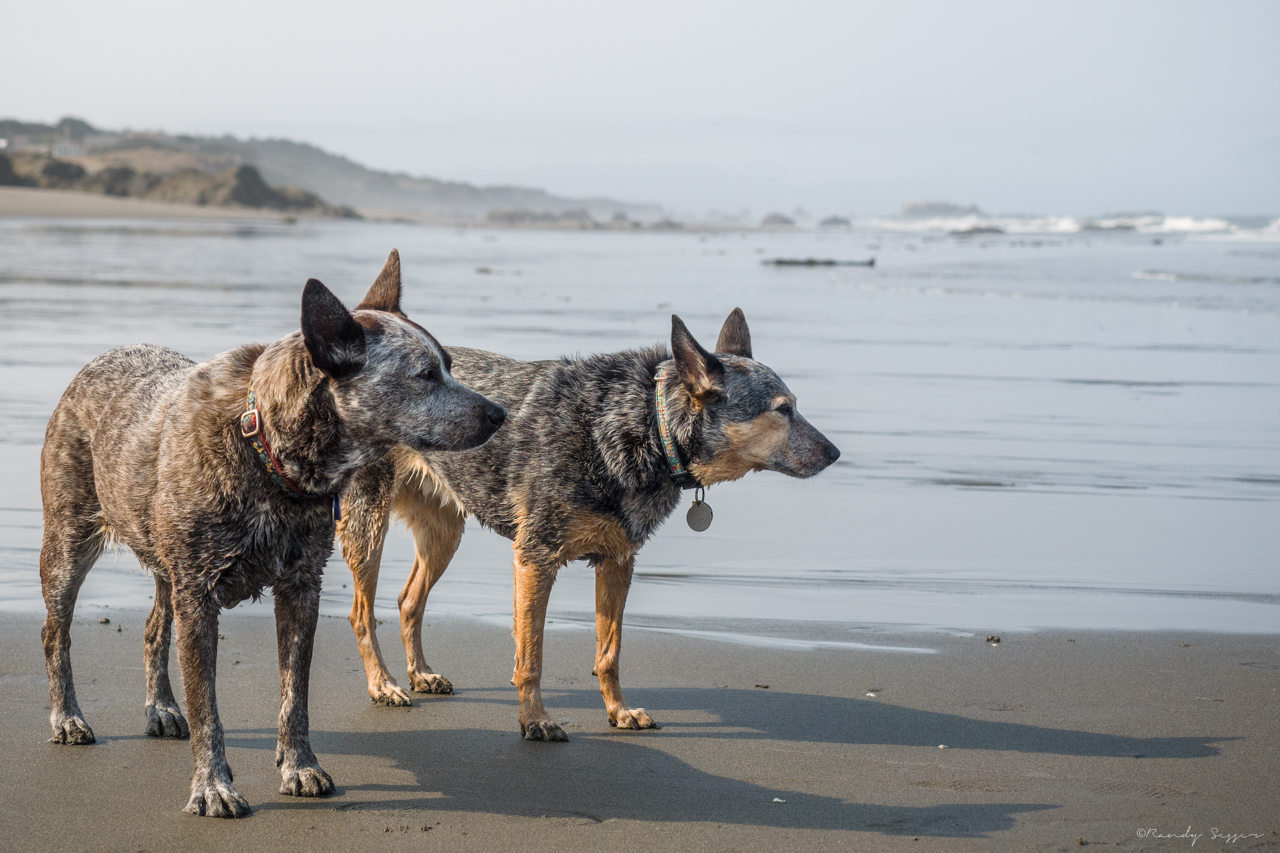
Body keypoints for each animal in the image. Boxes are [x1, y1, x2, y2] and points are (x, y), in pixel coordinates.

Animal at [38, 249, 504, 814]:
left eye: (451, 367)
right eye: (425, 374)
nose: (500, 413)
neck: (265, 450)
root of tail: (98, 361)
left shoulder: (301, 588)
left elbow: (294, 696)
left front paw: (299, 766)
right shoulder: (199, 596)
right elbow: (208, 709)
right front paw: (212, 787)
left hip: (165, 568)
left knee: (152, 630)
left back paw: (161, 707)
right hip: (69, 544)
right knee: (55, 633)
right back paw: (67, 718)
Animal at [337, 285, 839, 737]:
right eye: (783, 410)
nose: (835, 453)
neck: (643, 426)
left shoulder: (617, 561)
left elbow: (609, 653)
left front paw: (618, 711)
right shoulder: (535, 559)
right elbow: (532, 656)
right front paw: (535, 719)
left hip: (442, 534)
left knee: (408, 601)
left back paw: (420, 673)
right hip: (368, 524)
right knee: (361, 612)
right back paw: (382, 684)